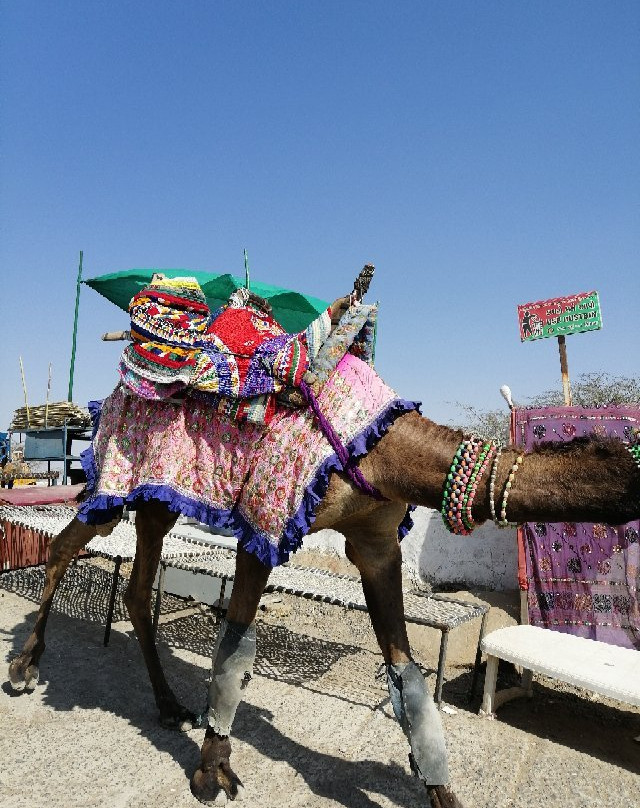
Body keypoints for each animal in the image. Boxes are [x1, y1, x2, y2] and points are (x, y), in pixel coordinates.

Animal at [6, 274, 640, 808]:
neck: (381, 447)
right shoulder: (265, 524)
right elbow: (235, 645)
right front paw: (213, 771)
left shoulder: (378, 543)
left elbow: (406, 671)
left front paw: (441, 790)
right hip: (117, 479)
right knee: (64, 547)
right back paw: (24, 666)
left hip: (160, 499)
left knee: (137, 591)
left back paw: (166, 706)